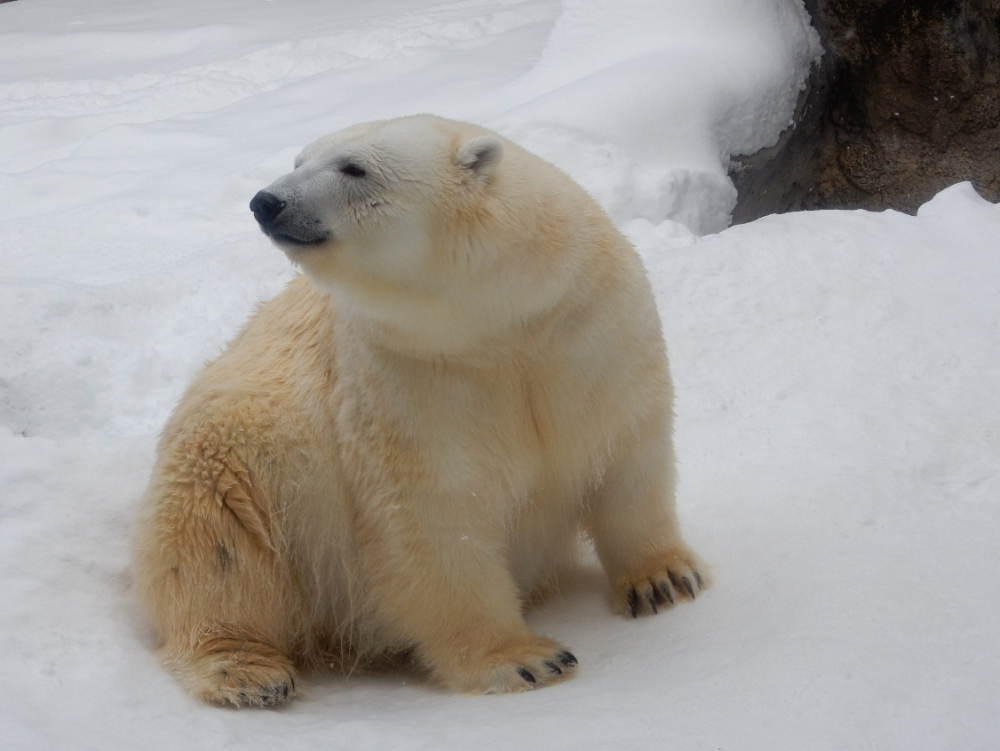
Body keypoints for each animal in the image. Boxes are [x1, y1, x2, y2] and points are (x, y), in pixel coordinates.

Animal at [133, 114, 708, 708]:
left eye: (353, 167)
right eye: (299, 161)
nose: (266, 201)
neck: (499, 324)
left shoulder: (588, 330)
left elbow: (630, 455)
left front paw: (663, 581)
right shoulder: (411, 380)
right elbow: (434, 519)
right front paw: (527, 660)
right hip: (238, 460)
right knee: (215, 547)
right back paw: (247, 671)